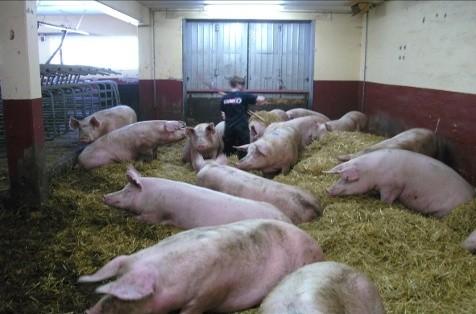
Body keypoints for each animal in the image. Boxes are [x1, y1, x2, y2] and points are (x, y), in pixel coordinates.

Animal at [103, 164, 290, 228]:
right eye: (123, 187)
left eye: (128, 191)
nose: (104, 197)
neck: (149, 196)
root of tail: (286, 218)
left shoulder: (155, 213)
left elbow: (142, 219)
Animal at [326, 148, 474, 217]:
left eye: (347, 179)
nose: (328, 190)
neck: (373, 171)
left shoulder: (392, 185)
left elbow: (386, 199)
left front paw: (383, 203)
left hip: (444, 210)